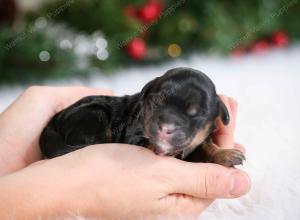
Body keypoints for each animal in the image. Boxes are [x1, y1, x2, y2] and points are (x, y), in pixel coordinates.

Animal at [39, 67, 245, 167]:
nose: (166, 128)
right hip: (93, 114)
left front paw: (226, 153)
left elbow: (206, 145)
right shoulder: (134, 136)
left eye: (196, 113)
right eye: (156, 102)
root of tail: (54, 121)